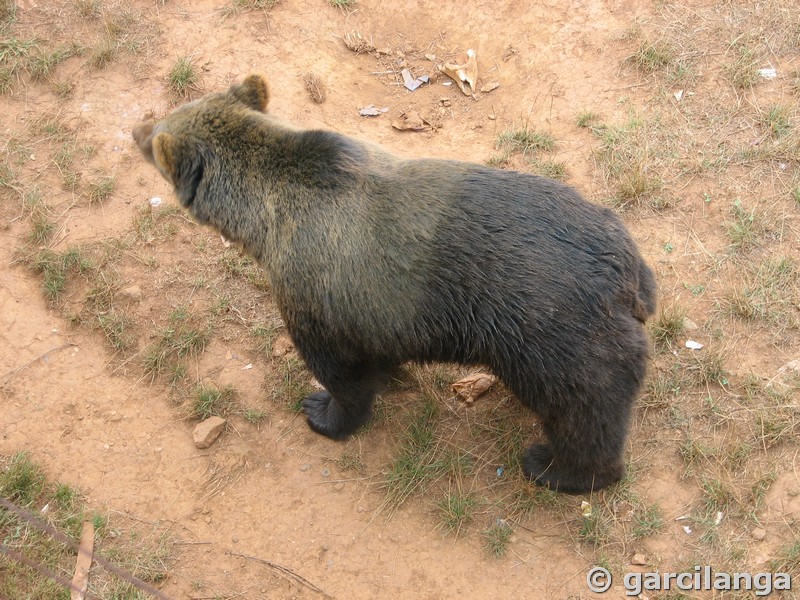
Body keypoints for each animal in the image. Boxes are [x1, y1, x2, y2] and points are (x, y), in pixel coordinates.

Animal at [133, 72, 656, 494]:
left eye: (155, 138)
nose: (136, 127)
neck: (268, 217)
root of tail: (626, 271)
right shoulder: (376, 308)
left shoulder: (316, 292)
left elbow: (343, 372)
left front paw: (323, 411)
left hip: (553, 333)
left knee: (584, 412)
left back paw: (557, 468)